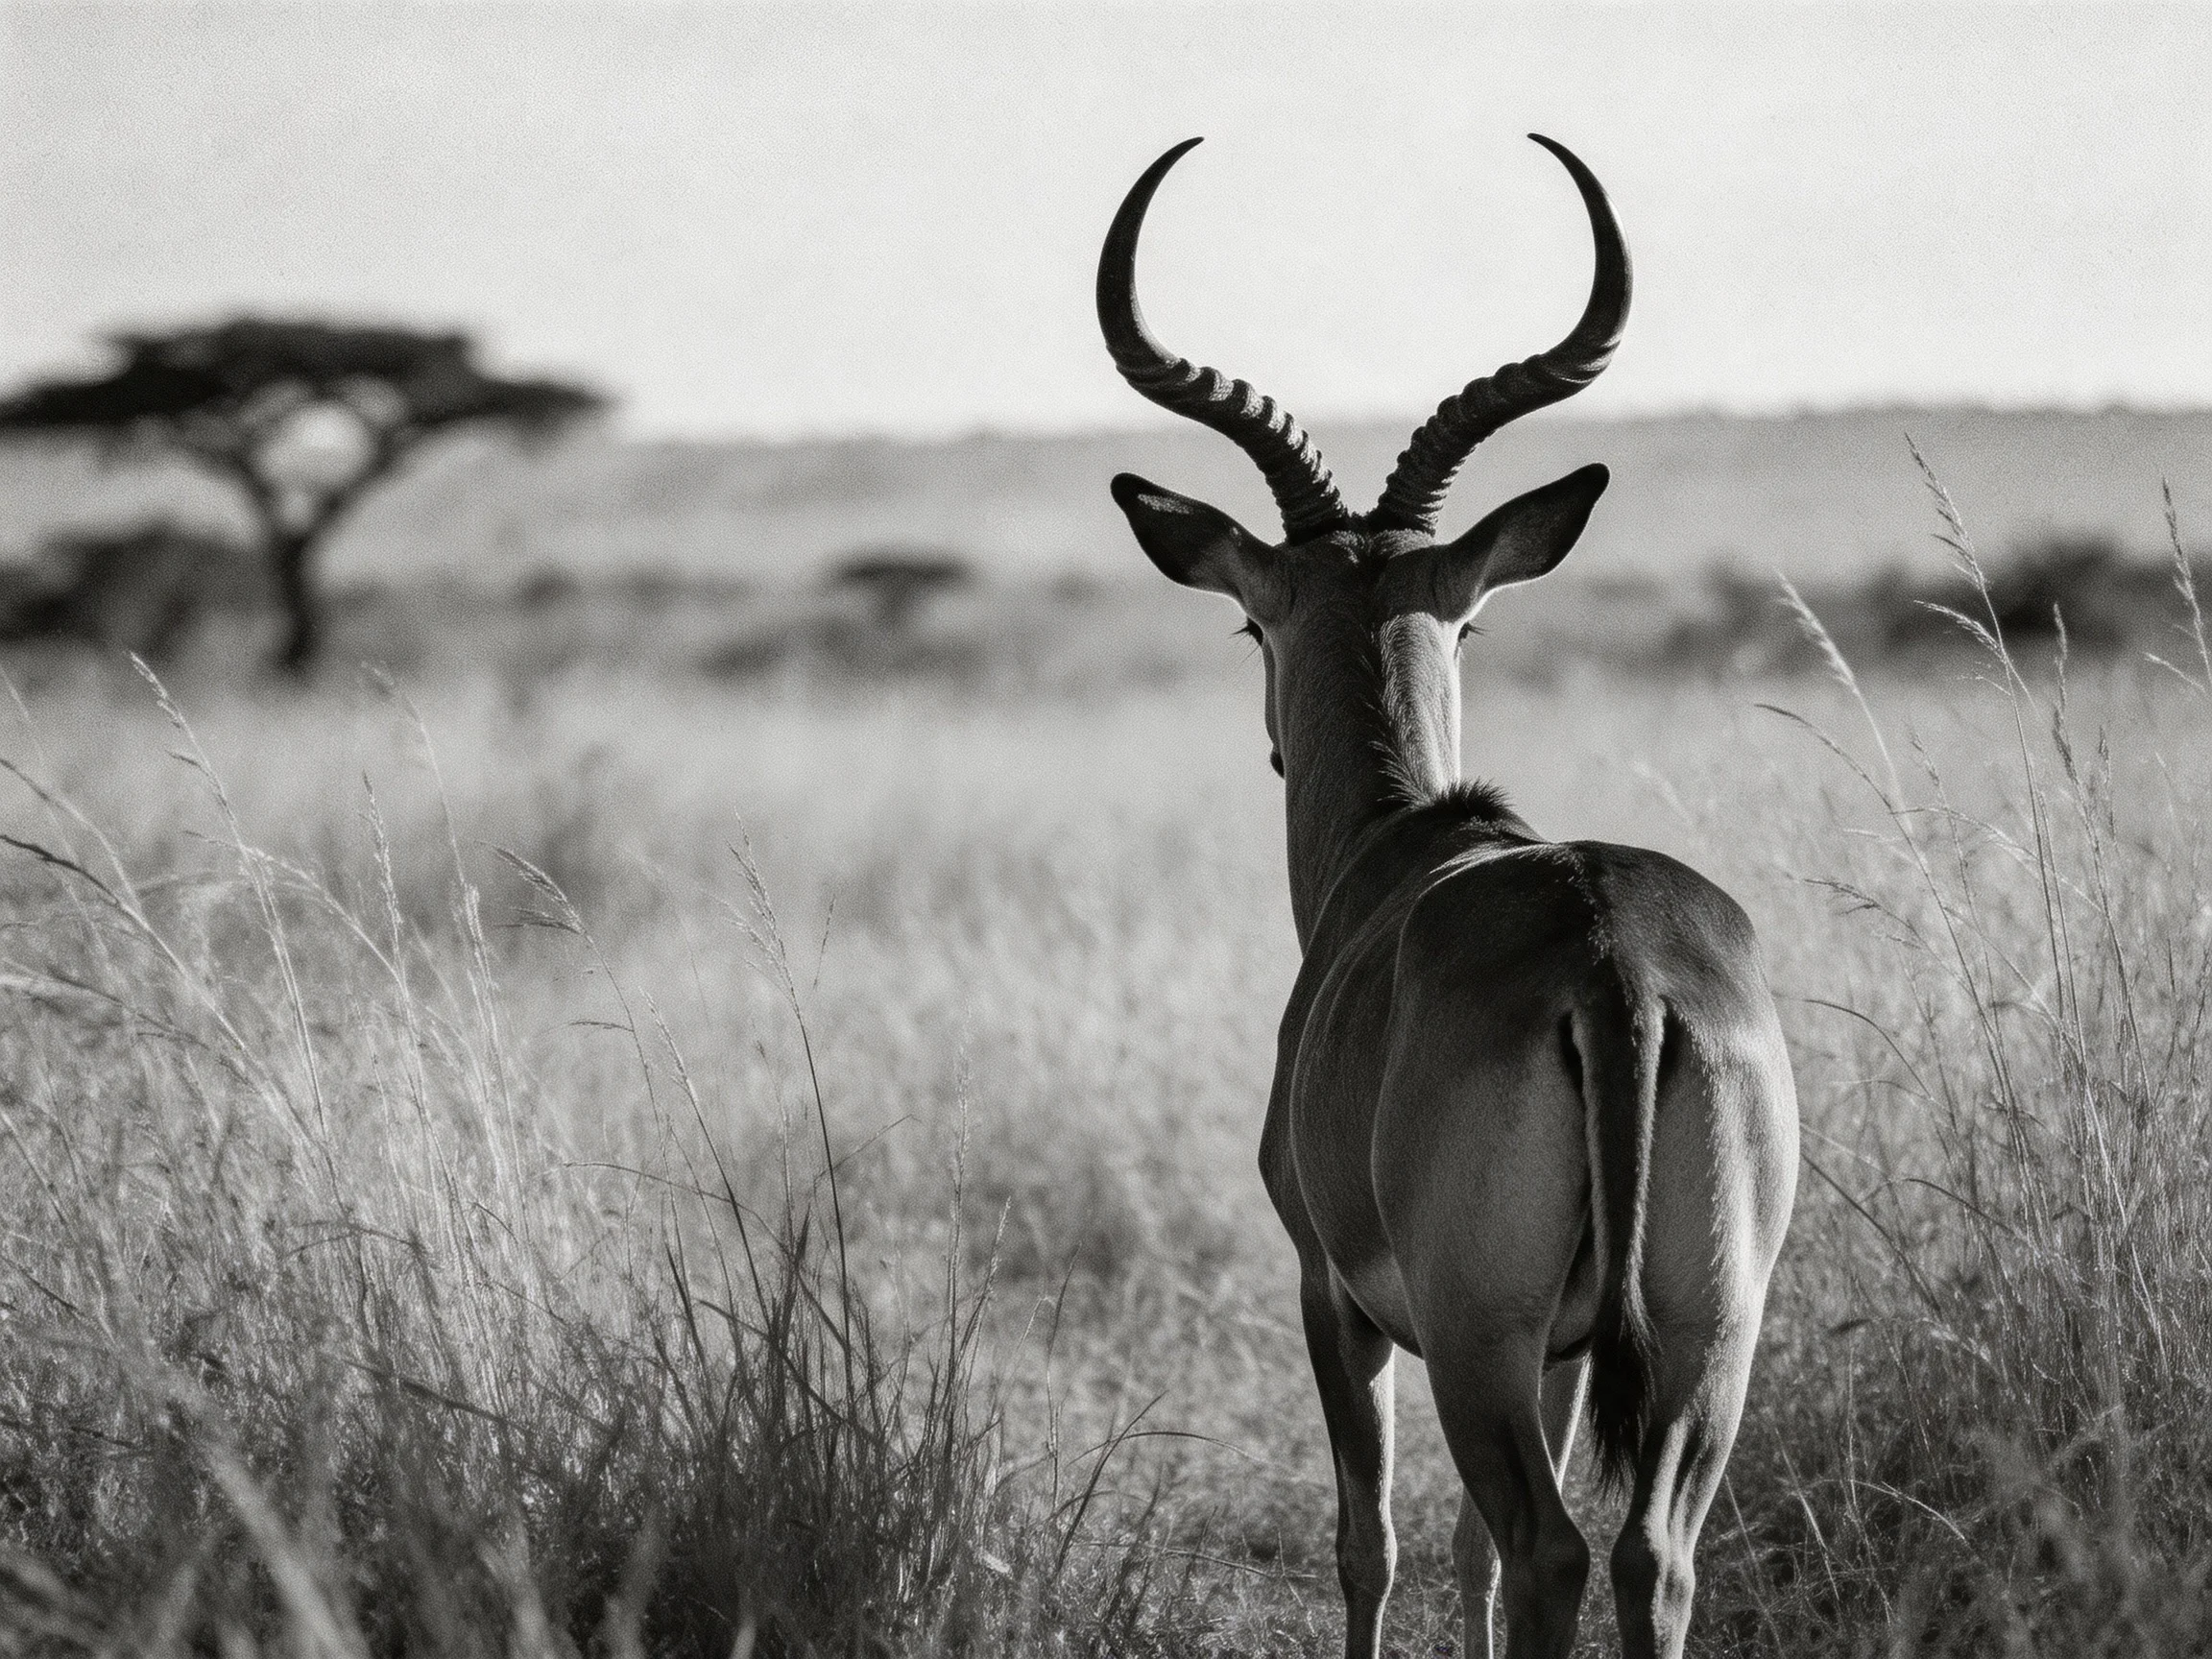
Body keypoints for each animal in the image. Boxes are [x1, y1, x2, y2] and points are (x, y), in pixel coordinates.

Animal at [1097, 136, 1798, 1659]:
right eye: (1468, 617)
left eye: (1252, 619)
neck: (1406, 848)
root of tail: (1614, 964)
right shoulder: (1567, 1348)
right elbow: (1462, 1549)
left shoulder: (1335, 1295)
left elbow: (1370, 1540)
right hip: (1705, 1336)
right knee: (1649, 1556)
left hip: (1480, 1338)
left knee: (1549, 1550)